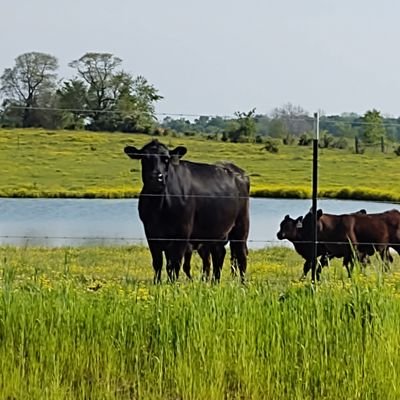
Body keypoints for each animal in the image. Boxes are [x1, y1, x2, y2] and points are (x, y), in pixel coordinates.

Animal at [125, 139, 250, 282]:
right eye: (144, 158)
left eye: (166, 159)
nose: (156, 177)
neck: (159, 205)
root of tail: (238, 172)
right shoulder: (151, 233)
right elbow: (158, 263)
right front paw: (157, 283)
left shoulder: (182, 232)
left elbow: (175, 264)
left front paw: (172, 283)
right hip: (216, 232)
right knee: (219, 254)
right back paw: (215, 282)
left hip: (241, 226)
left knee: (241, 255)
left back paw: (242, 283)